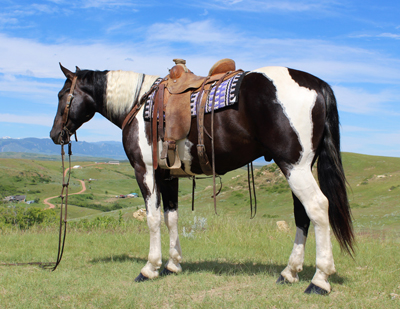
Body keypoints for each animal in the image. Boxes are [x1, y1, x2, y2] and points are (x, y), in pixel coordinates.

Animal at [50, 60, 354, 294]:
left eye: (62, 95)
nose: (55, 135)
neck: (138, 104)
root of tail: (317, 84)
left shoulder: (144, 170)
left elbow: (152, 219)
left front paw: (150, 268)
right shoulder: (168, 176)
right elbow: (171, 217)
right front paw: (173, 264)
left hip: (295, 166)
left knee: (317, 208)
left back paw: (319, 280)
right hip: (299, 167)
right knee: (303, 214)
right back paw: (289, 272)